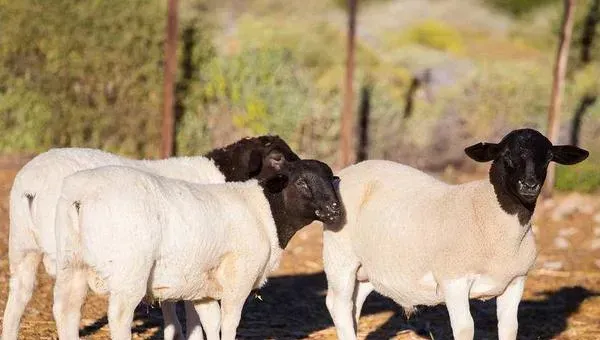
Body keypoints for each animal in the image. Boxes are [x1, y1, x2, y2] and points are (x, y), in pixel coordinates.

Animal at [50, 159, 342, 340]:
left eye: (332, 180)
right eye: (301, 183)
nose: (334, 210)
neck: (264, 212)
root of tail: (81, 195)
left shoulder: (205, 290)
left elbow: (211, 324)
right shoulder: (239, 280)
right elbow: (229, 323)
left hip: (71, 264)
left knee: (66, 311)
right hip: (129, 272)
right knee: (119, 317)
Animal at [324, 129, 592, 340]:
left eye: (548, 158)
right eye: (506, 155)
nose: (529, 185)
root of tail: (348, 172)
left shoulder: (516, 280)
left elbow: (510, 328)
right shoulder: (453, 280)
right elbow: (465, 329)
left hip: (367, 269)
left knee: (353, 305)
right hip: (340, 257)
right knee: (338, 305)